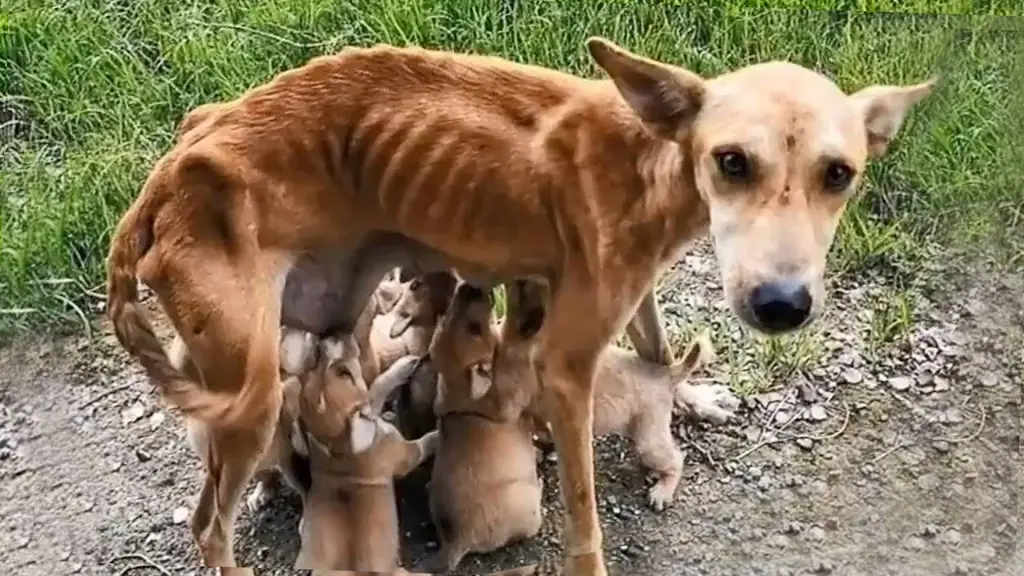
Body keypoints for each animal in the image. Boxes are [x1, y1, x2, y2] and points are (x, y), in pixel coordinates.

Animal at [292, 332, 436, 569]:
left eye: (310, 368)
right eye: (345, 373)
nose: (324, 340)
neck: (337, 446)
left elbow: (375, 391)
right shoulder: (405, 452)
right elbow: (423, 442)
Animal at [413, 282, 544, 573]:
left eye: (446, 313)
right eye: (474, 329)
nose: (469, 286)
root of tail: (454, 543)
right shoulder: (512, 390)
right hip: (525, 504)